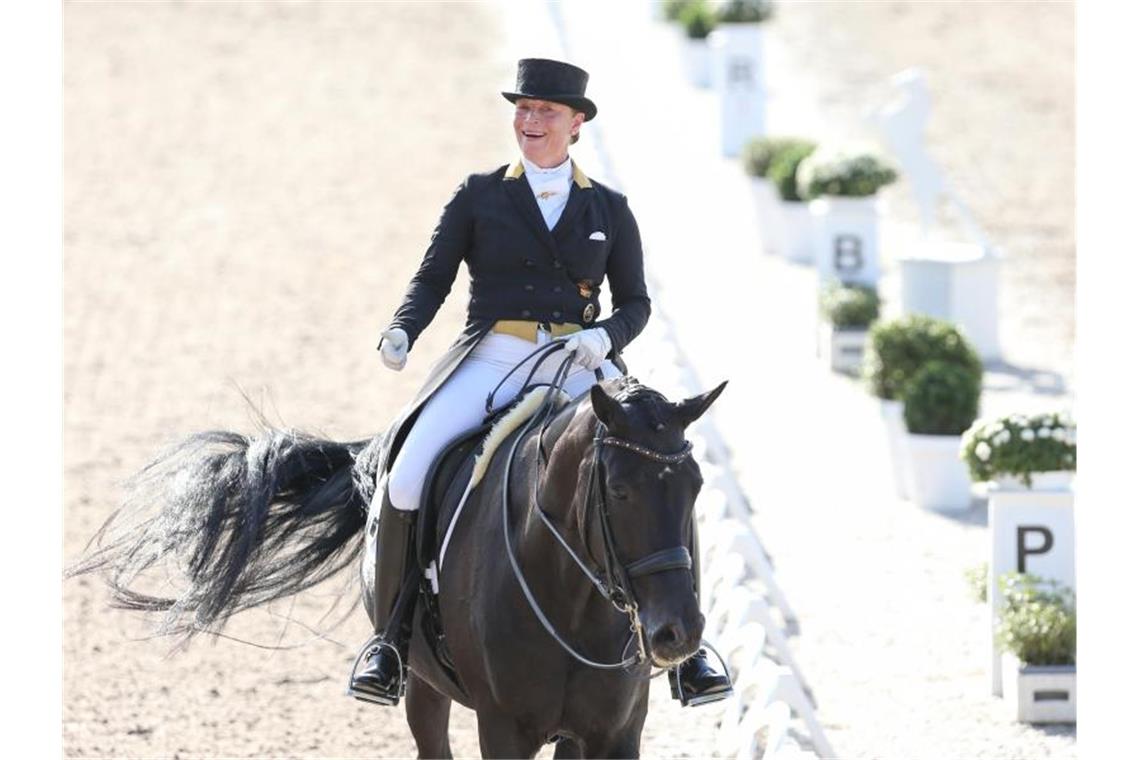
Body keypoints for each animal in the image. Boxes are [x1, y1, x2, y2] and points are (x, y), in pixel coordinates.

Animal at [71, 371, 725, 756]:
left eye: (694, 486)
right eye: (618, 491)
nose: (676, 634)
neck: (575, 604)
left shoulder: (615, 731)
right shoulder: (504, 727)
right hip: (423, 684)